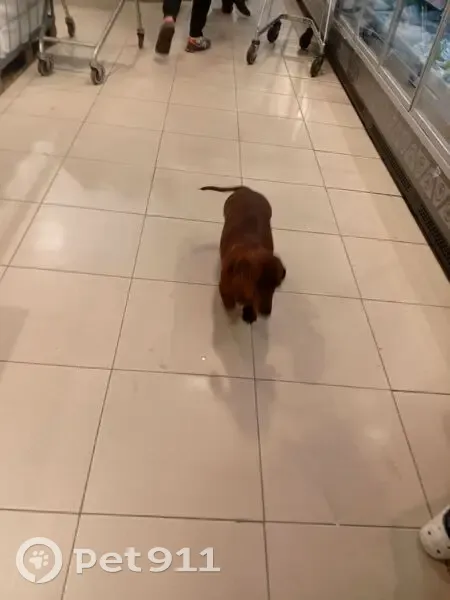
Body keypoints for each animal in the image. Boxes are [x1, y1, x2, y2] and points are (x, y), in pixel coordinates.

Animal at [201, 185, 286, 324]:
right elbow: (229, 301)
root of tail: (248, 190)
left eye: (276, 286)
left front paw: (249, 313)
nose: (266, 313)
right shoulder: (224, 287)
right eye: (257, 285)